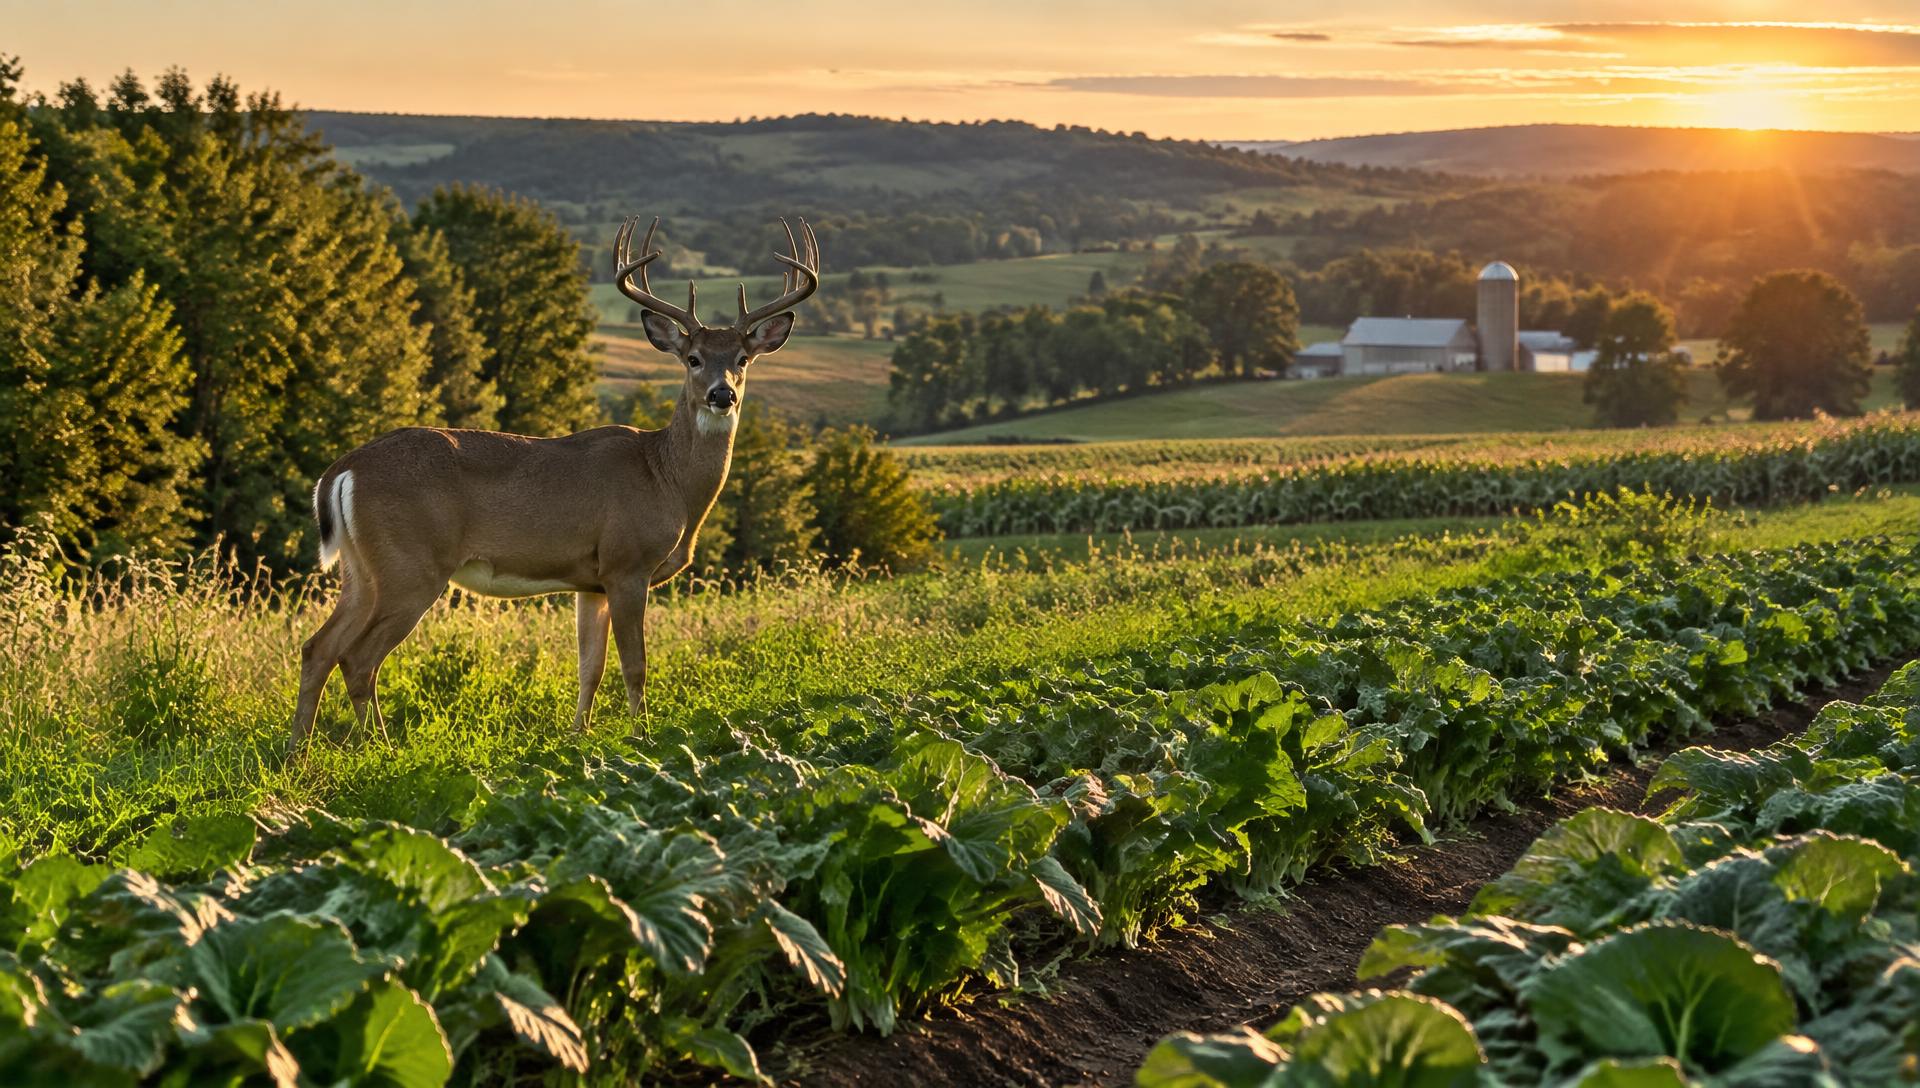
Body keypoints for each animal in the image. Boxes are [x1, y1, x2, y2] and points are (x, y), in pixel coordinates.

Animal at [289, 216, 820, 747]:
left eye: (742, 359)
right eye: (692, 358)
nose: (721, 394)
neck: (666, 478)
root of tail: (342, 470)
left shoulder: (592, 581)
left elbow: (590, 667)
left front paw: (578, 737)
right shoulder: (627, 563)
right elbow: (635, 666)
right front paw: (642, 739)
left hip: (361, 569)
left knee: (318, 648)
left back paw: (300, 751)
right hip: (410, 564)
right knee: (358, 657)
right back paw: (379, 747)